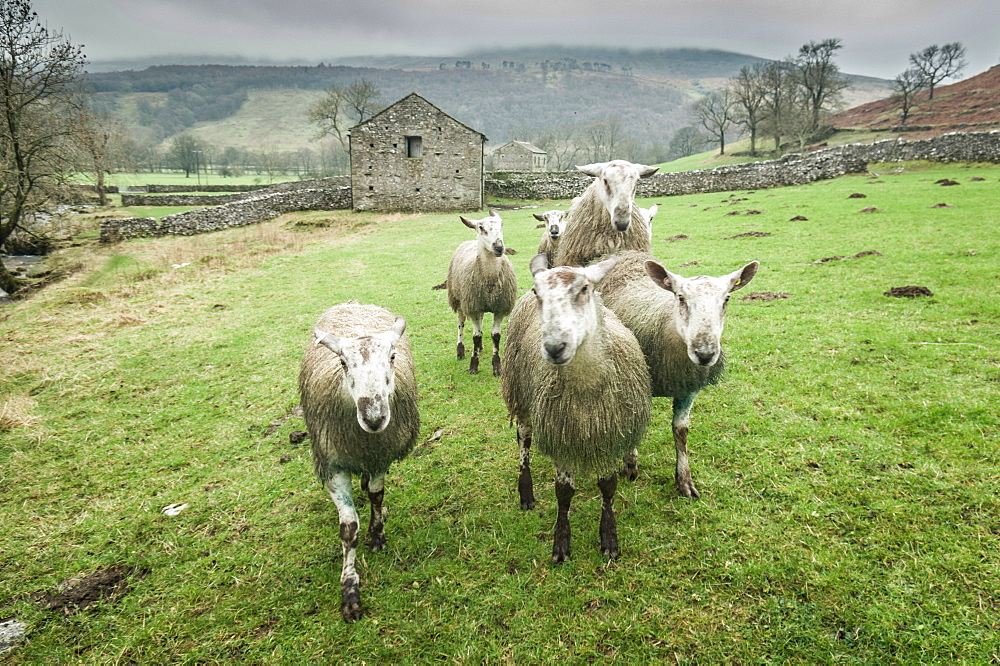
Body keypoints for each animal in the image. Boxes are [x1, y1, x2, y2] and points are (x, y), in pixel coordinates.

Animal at [298, 300, 420, 624]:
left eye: (392, 356)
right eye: (342, 362)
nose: (374, 417)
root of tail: (354, 302)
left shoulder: (379, 454)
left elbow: (377, 495)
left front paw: (377, 535)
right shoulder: (333, 464)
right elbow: (349, 529)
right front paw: (350, 589)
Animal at [450, 209, 520, 374]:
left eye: (502, 224)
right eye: (481, 228)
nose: (499, 247)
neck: (489, 279)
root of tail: (470, 241)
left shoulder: (500, 308)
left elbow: (495, 336)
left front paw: (497, 366)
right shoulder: (472, 307)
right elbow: (476, 336)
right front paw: (473, 365)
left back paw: (480, 347)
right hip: (459, 299)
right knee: (461, 322)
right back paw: (460, 350)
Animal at [498, 254, 648, 560]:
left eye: (584, 289)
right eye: (538, 292)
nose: (555, 347)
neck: (587, 388)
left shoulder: (608, 434)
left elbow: (608, 487)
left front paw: (609, 538)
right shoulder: (561, 435)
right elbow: (564, 492)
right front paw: (561, 543)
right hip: (520, 393)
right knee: (523, 440)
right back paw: (526, 492)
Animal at [592, 250, 756, 498]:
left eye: (726, 299)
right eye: (681, 298)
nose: (705, 354)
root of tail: (625, 254)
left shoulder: (688, 387)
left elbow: (681, 431)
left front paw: (684, 480)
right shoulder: (634, 385)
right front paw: (630, 464)